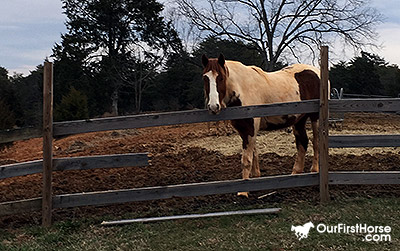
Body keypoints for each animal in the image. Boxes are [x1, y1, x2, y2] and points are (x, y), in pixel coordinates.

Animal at [203, 54, 322, 197]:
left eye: (220, 77)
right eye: (205, 78)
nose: (213, 107)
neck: (242, 88)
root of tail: (316, 71)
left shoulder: (250, 129)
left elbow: (246, 159)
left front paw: (243, 191)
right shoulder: (245, 130)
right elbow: (254, 153)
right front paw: (255, 178)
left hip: (315, 118)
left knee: (316, 143)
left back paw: (314, 170)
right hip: (299, 120)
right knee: (302, 143)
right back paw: (295, 175)